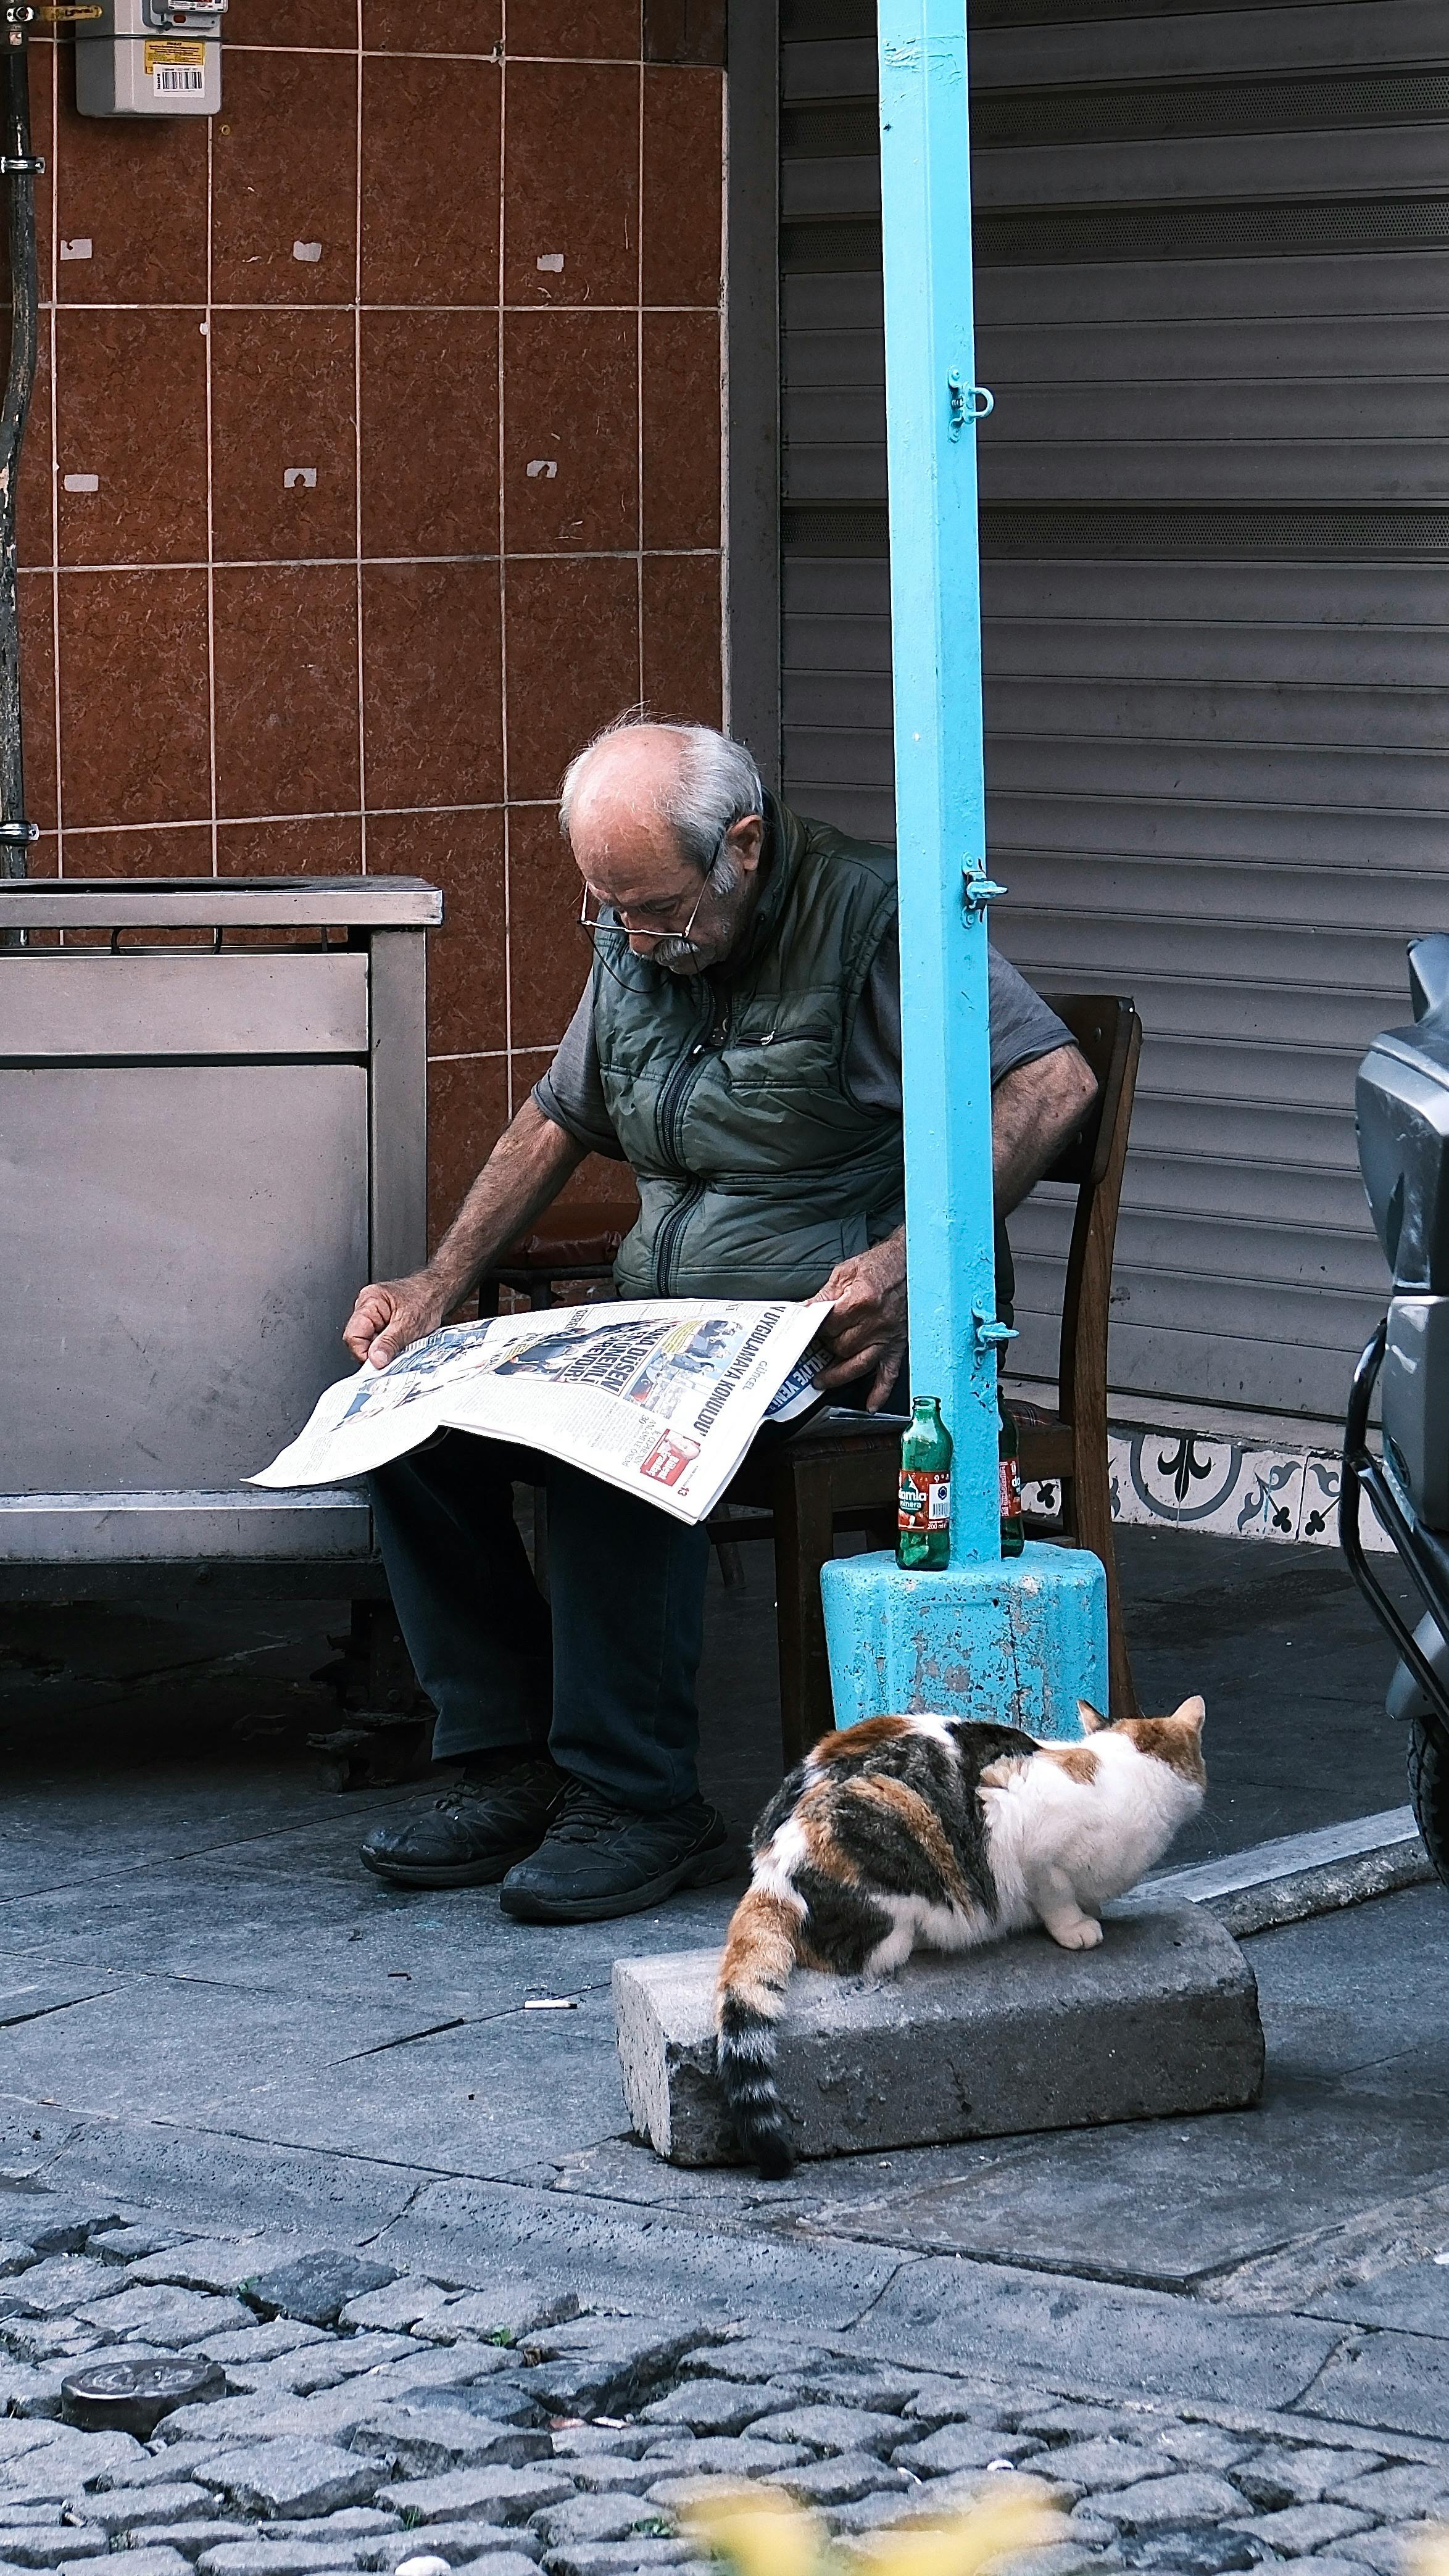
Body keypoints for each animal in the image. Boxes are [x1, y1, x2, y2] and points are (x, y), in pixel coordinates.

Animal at [712, 1700, 1196, 2184]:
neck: (1122, 1769)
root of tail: (772, 1867)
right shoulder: (1027, 1826)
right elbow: (1054, 1891)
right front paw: (1076, 1927)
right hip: (893, 1842)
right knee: (858, 1949)